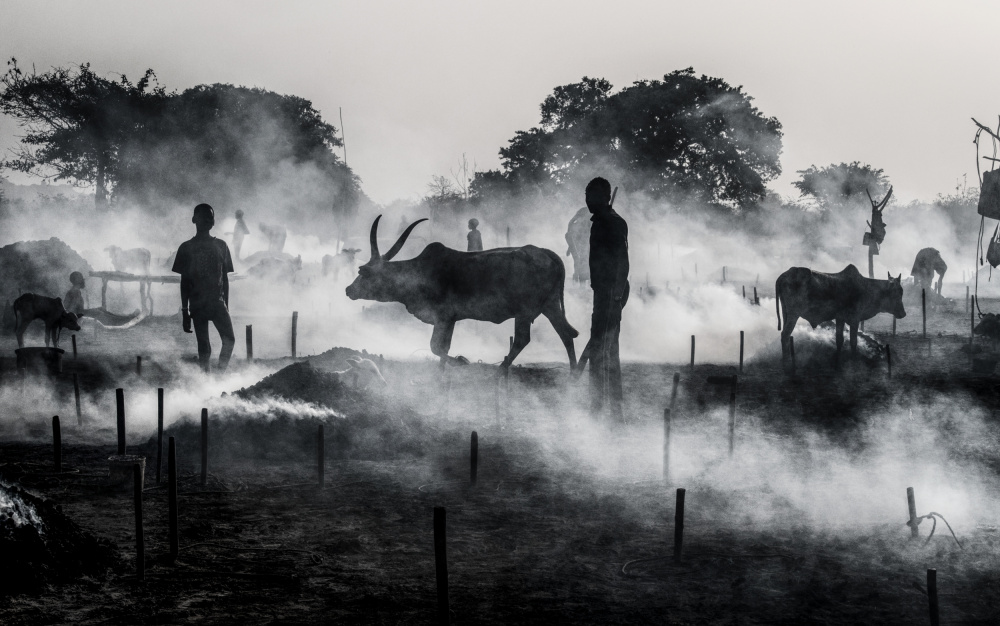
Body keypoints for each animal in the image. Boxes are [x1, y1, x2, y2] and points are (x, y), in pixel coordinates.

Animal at [348, 217, 580, 368]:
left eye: (363, 272)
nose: (348, 289)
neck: (417, 272)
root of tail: (546, 253)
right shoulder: (450, 319)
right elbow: (443, 348)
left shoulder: (443, 316)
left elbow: (436, 347)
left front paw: (462, 361)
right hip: (550, 305)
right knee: (566, 334)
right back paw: (574, 374)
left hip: (524, 311)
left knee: (523, 339)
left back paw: (501, 369)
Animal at [772, 264, 908, 360]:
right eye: (898, 292)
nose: (903, 314)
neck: (867, 288)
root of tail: (785, 275)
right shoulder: (854, 319)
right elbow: (853, 342)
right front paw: (853, 360)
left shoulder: (840, 318)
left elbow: (839, 339)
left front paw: (837, 358)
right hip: (793, 315)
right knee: (784, 335)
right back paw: (787, 363)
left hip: (786, 313)